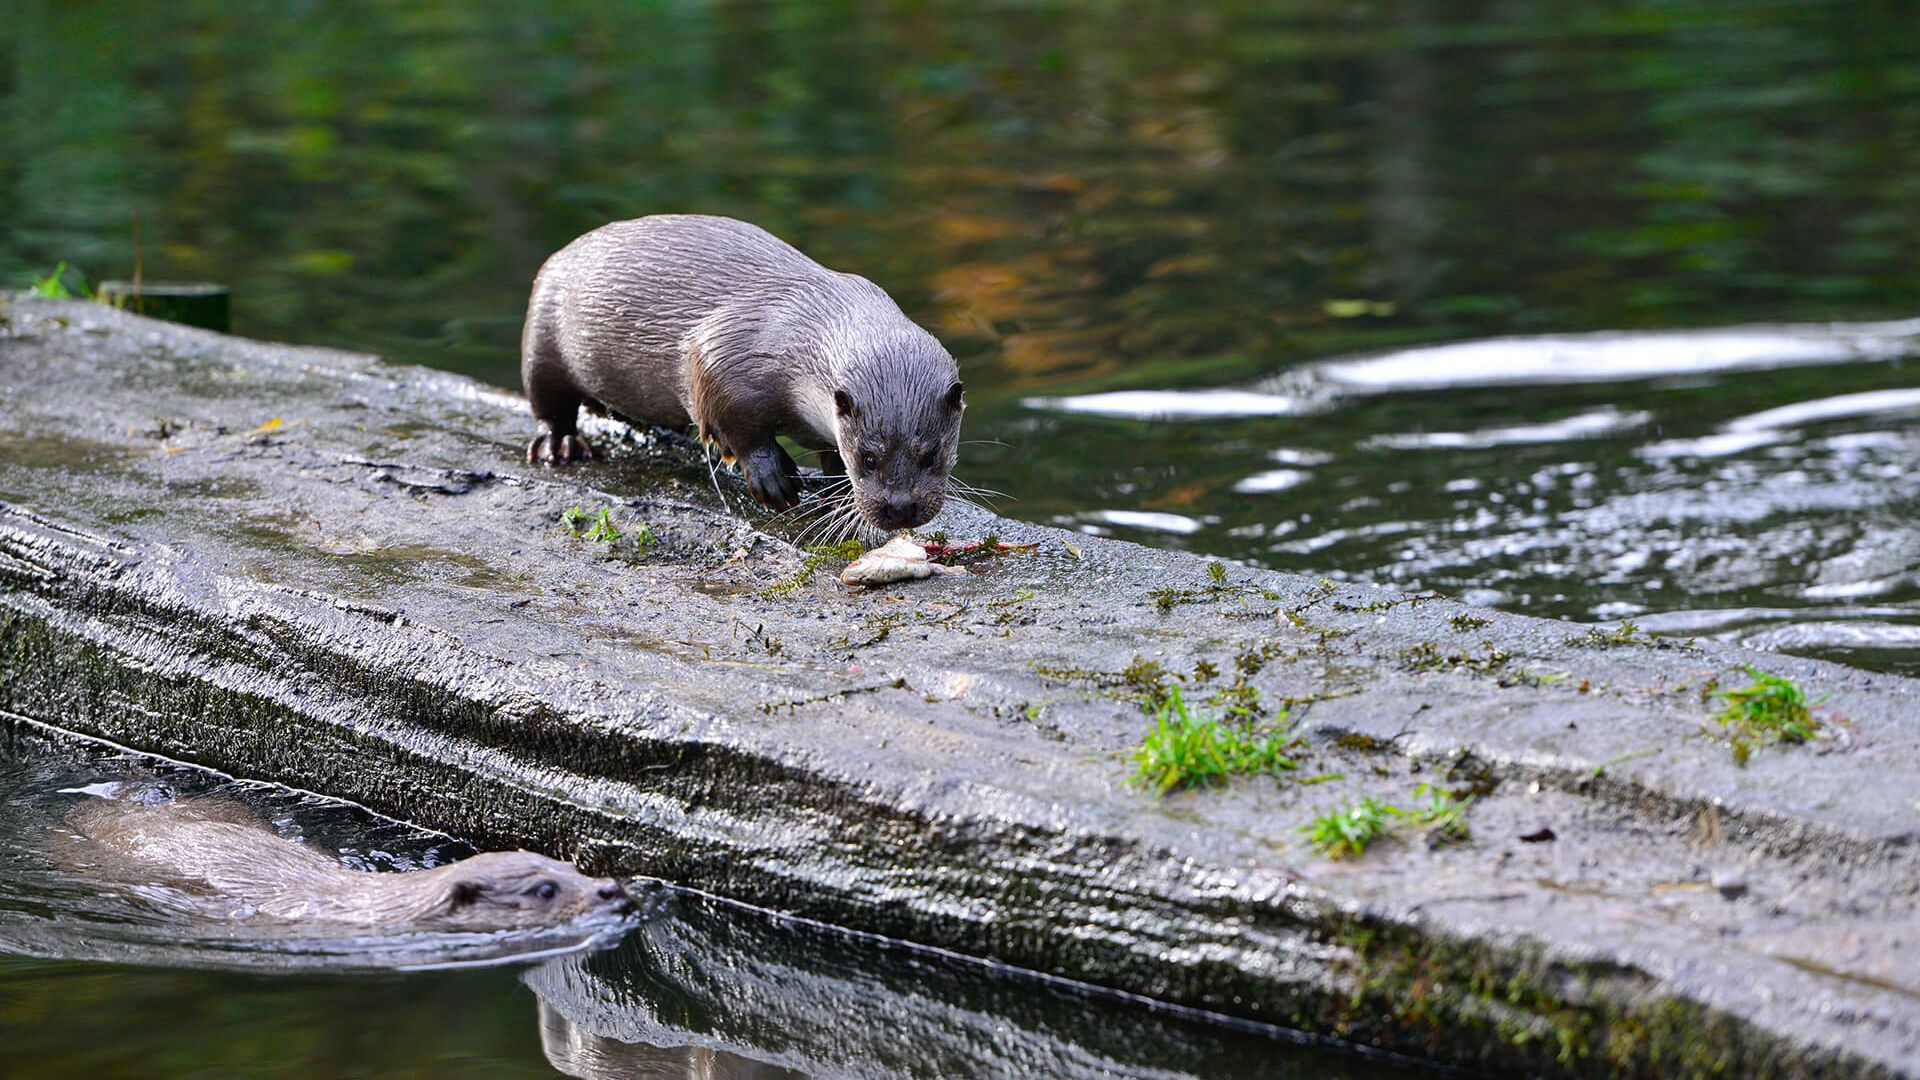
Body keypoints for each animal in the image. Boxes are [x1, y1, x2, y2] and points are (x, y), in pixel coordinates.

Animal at [520, 214, 964, 532]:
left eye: (931, 455)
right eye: (868, 459)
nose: (901, 508)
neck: (797, 339)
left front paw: (837, 495)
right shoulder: (720, 352)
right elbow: (734, 424)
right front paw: (774, 480)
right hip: (544, 332)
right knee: (547, 401)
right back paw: (560, 444)